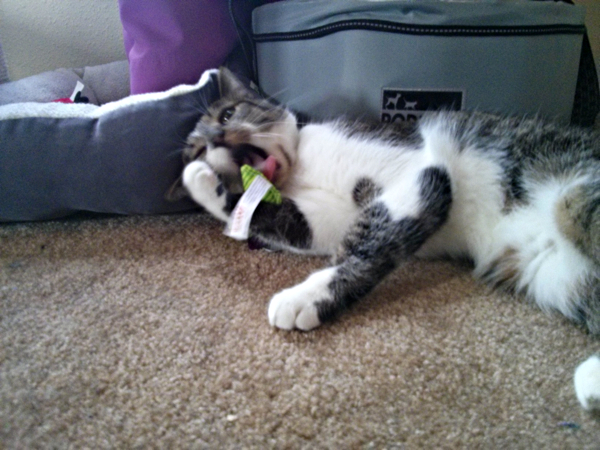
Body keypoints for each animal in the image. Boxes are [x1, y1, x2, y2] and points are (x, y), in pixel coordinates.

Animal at [168, 67, 600, 412]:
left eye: (227, 113)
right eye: (200, 148)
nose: (218, 137)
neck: (300, 171)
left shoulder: (418, 168)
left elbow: (374, 238)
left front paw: (306, 296)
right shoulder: (322, 218)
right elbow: (279, 218)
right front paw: (205, 185)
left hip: (576, 201)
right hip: (560, 276)